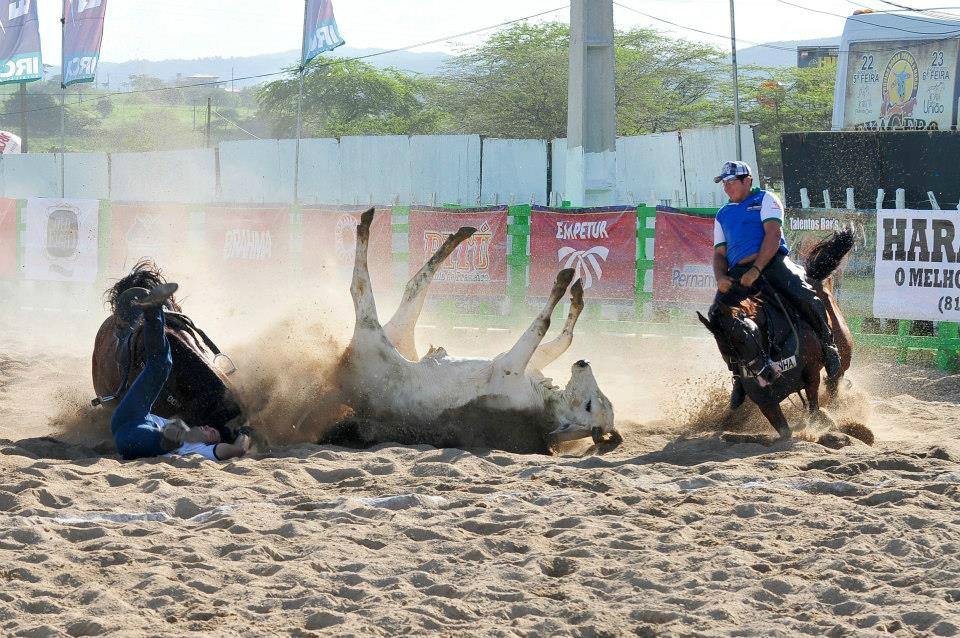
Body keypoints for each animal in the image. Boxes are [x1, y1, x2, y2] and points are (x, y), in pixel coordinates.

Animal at [326, 209, 620, 456]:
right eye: (598, 400)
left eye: (589, 406)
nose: (583, 363)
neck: (543, 401)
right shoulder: (527, 361)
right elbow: (564, 339)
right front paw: (575, 293)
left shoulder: (510, 364)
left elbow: (542, 324)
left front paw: (562, 283)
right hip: (399, 334)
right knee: (414, 285)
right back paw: (458, 235)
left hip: (372, 333)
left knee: (363, 289)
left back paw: (365, 225)